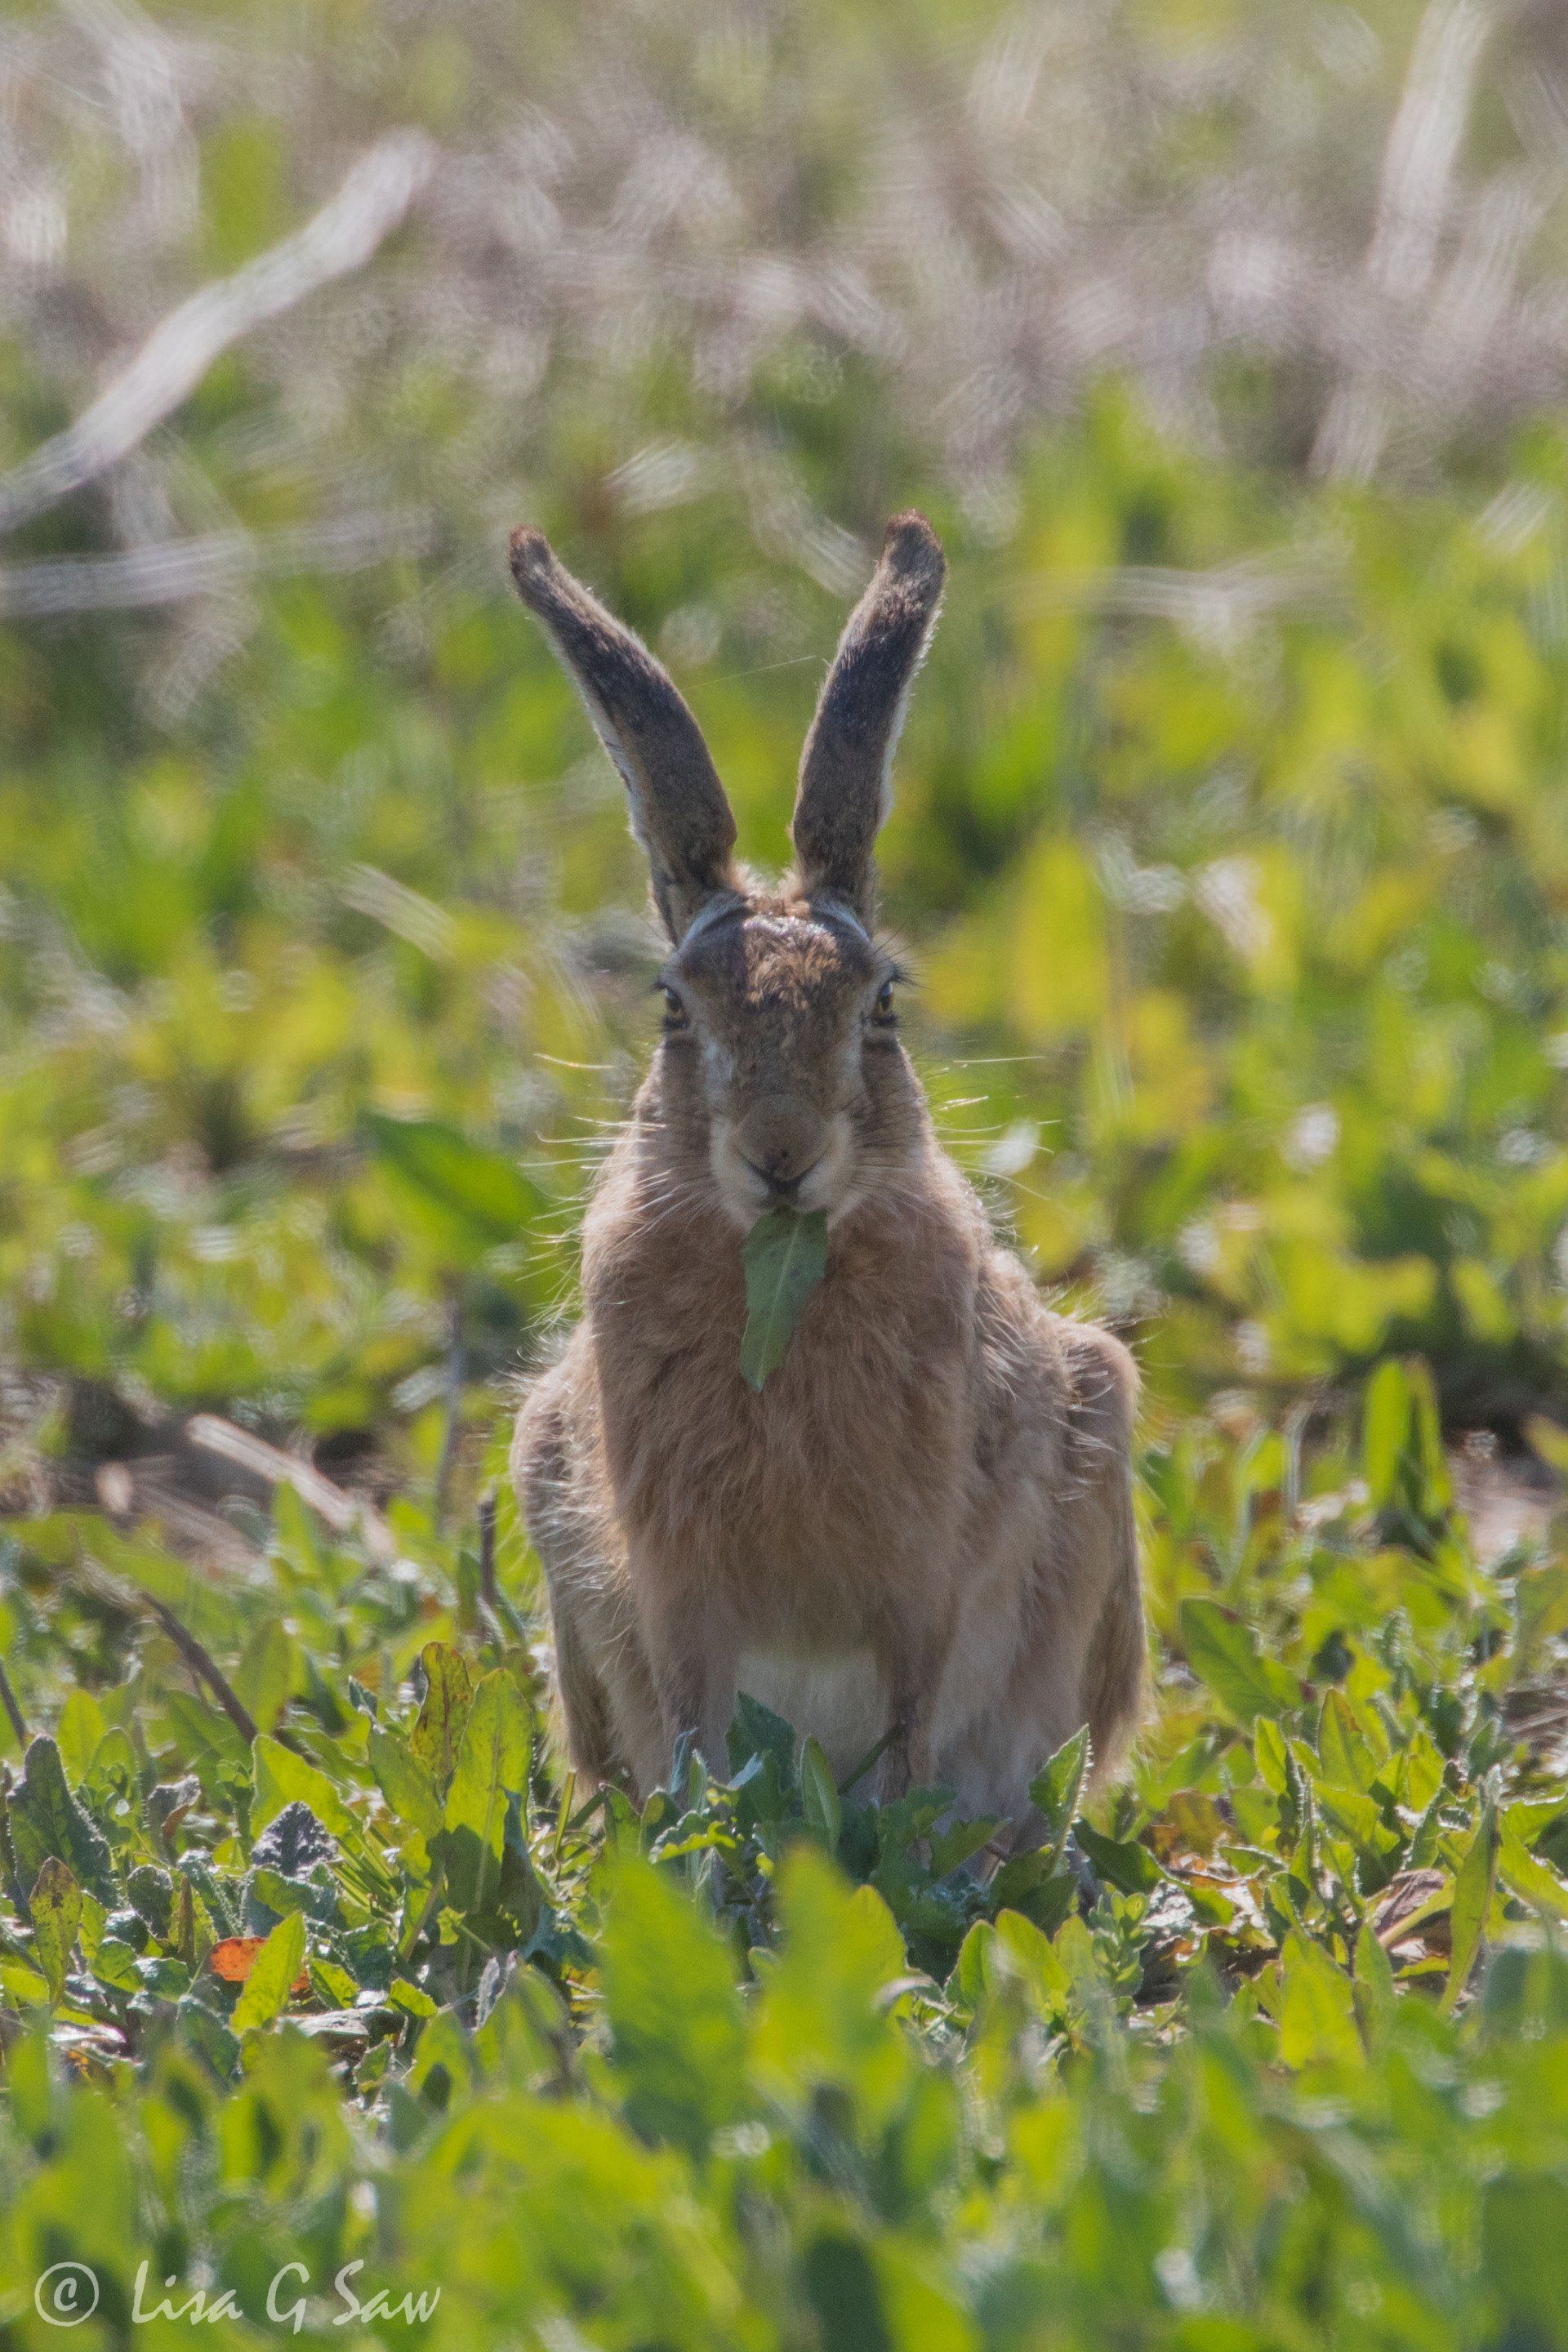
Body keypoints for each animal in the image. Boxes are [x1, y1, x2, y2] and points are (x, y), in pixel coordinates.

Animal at [508, 511, 1144, 1823]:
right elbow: (695, 1728)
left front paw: (889, 1837)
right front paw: (706, 1843)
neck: (782, 1264)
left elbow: (910, 1711)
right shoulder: (678, 1592)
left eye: (882, 1006)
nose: (782, 1155)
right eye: (675, 1011)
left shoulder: (924, 1580)